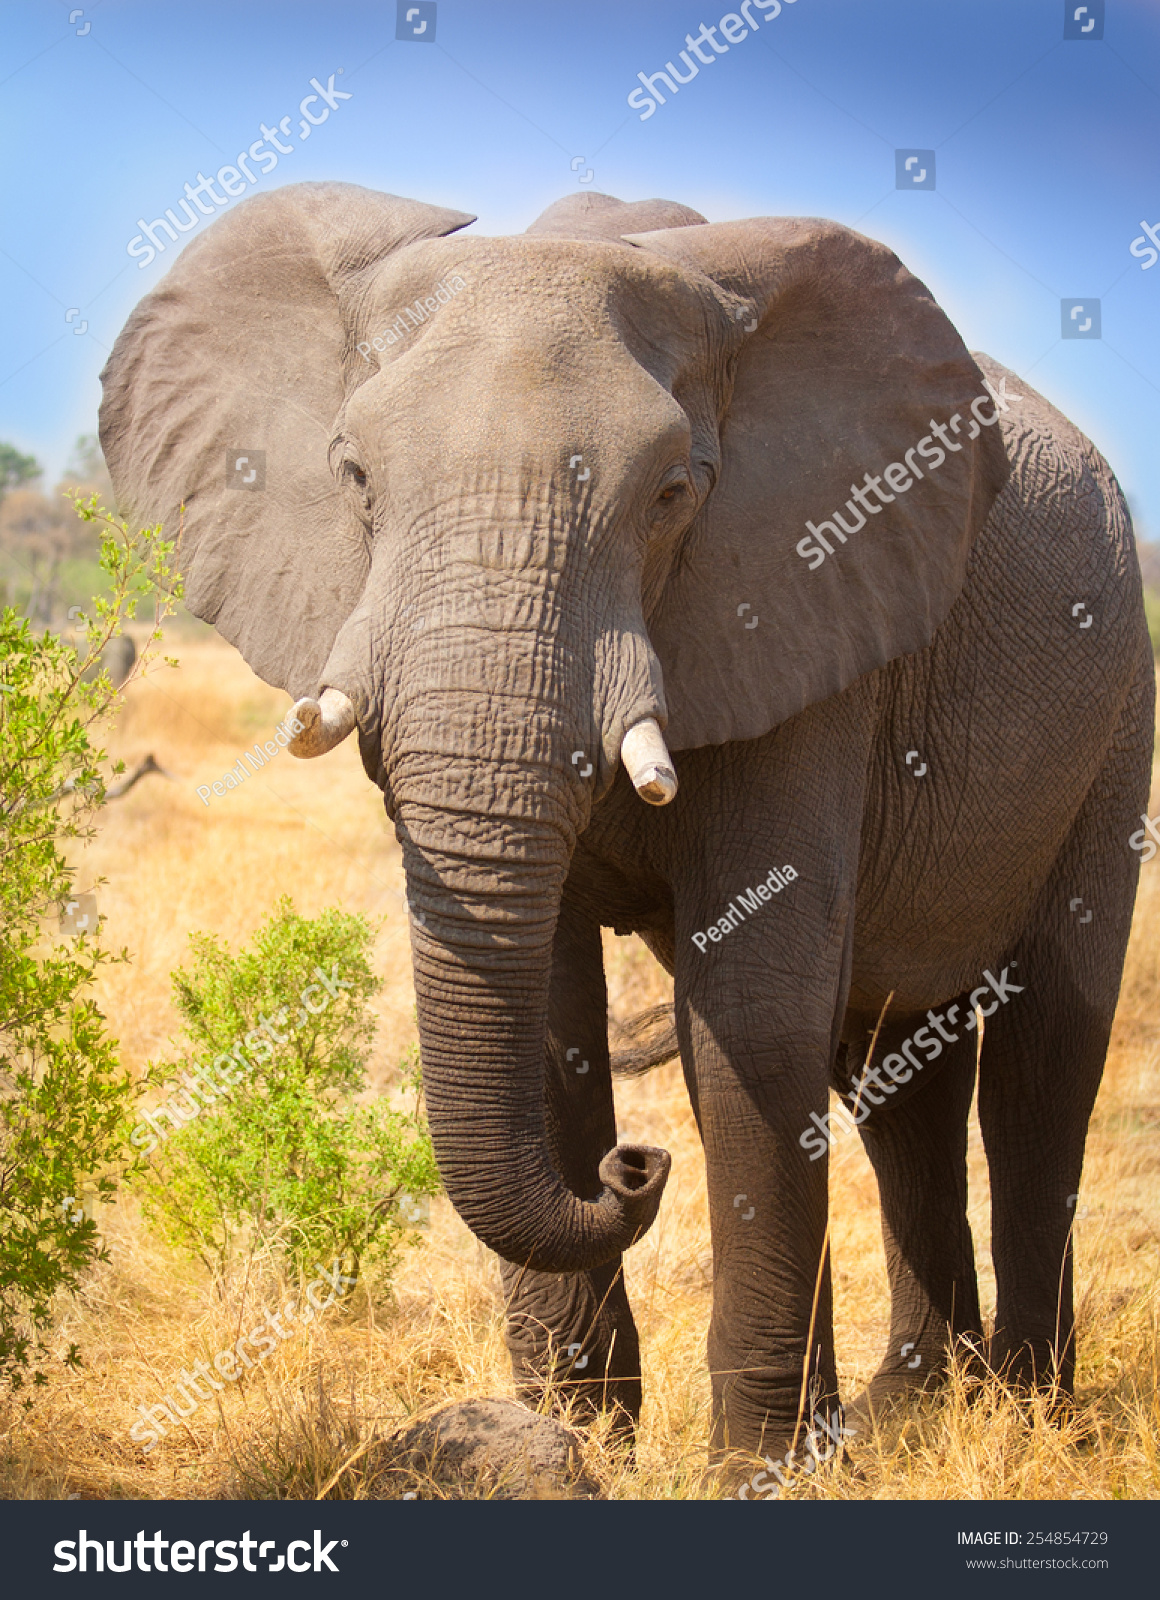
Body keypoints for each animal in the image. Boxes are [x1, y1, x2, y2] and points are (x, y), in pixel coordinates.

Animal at [99, 184, 1152, 1472]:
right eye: (353, 477)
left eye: (669, 496)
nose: (632, 1164)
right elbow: (550, 1004)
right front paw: (568, 1441)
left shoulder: (807, 606)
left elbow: (749, 1008)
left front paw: (758, 1471)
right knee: (891, 1066)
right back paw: (912, 1407)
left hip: (1116, 706)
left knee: (1042, 1056)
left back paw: (1030, 1410)